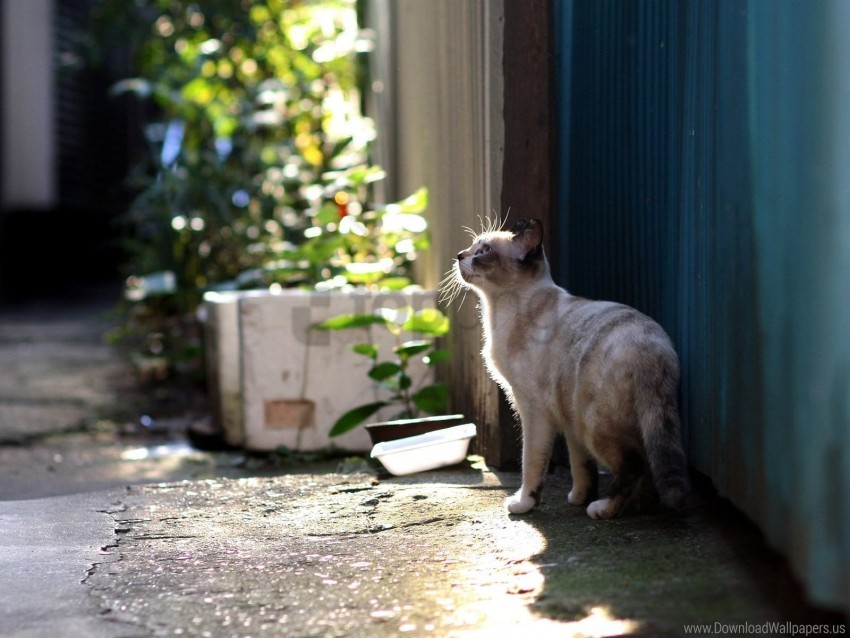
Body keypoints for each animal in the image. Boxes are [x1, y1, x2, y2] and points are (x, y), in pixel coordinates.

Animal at [444, 219, 688, 520]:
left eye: (484, 250)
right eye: (472, 246)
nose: (460, 255)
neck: (499, 311)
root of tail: (655, 350)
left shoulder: (533, 410)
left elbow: (531, 464)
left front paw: (523, 504)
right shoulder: (567, 419)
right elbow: (581, 466)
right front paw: (578, 497)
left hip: (592, 423)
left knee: (634, 465)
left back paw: (604, 509)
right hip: (585, 417)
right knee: (647, 467)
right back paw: (636, 506)